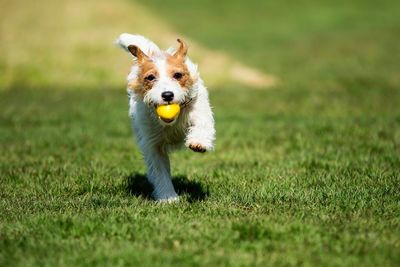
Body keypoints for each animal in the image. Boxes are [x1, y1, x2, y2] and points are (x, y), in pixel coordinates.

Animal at [115, 33, 216, 202]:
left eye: (177, 75)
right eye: (150, 77)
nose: (167, 95)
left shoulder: (199, 110)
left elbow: (202, 125)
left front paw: (198, 142)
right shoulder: (152, 144)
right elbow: (159, 171)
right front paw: (168, 197)